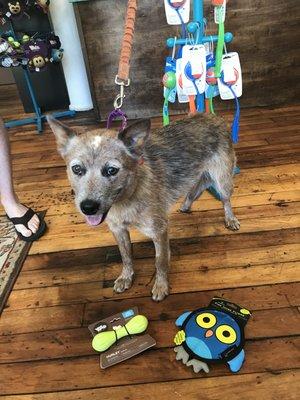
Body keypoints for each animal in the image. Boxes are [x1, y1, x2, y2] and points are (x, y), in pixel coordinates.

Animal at [47, 112, 239, 300]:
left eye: (111, 170)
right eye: (77, 169)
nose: (88, 207)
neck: (126, 199)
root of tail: (213, 116)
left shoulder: (159, 231)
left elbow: (160, 261)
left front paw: (161, 286)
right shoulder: (118, 230)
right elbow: (126, 256)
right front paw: (126, 277)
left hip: (222, 180)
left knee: (225, 200)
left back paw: (230, 219)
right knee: (194, 188)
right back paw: (185, 205)